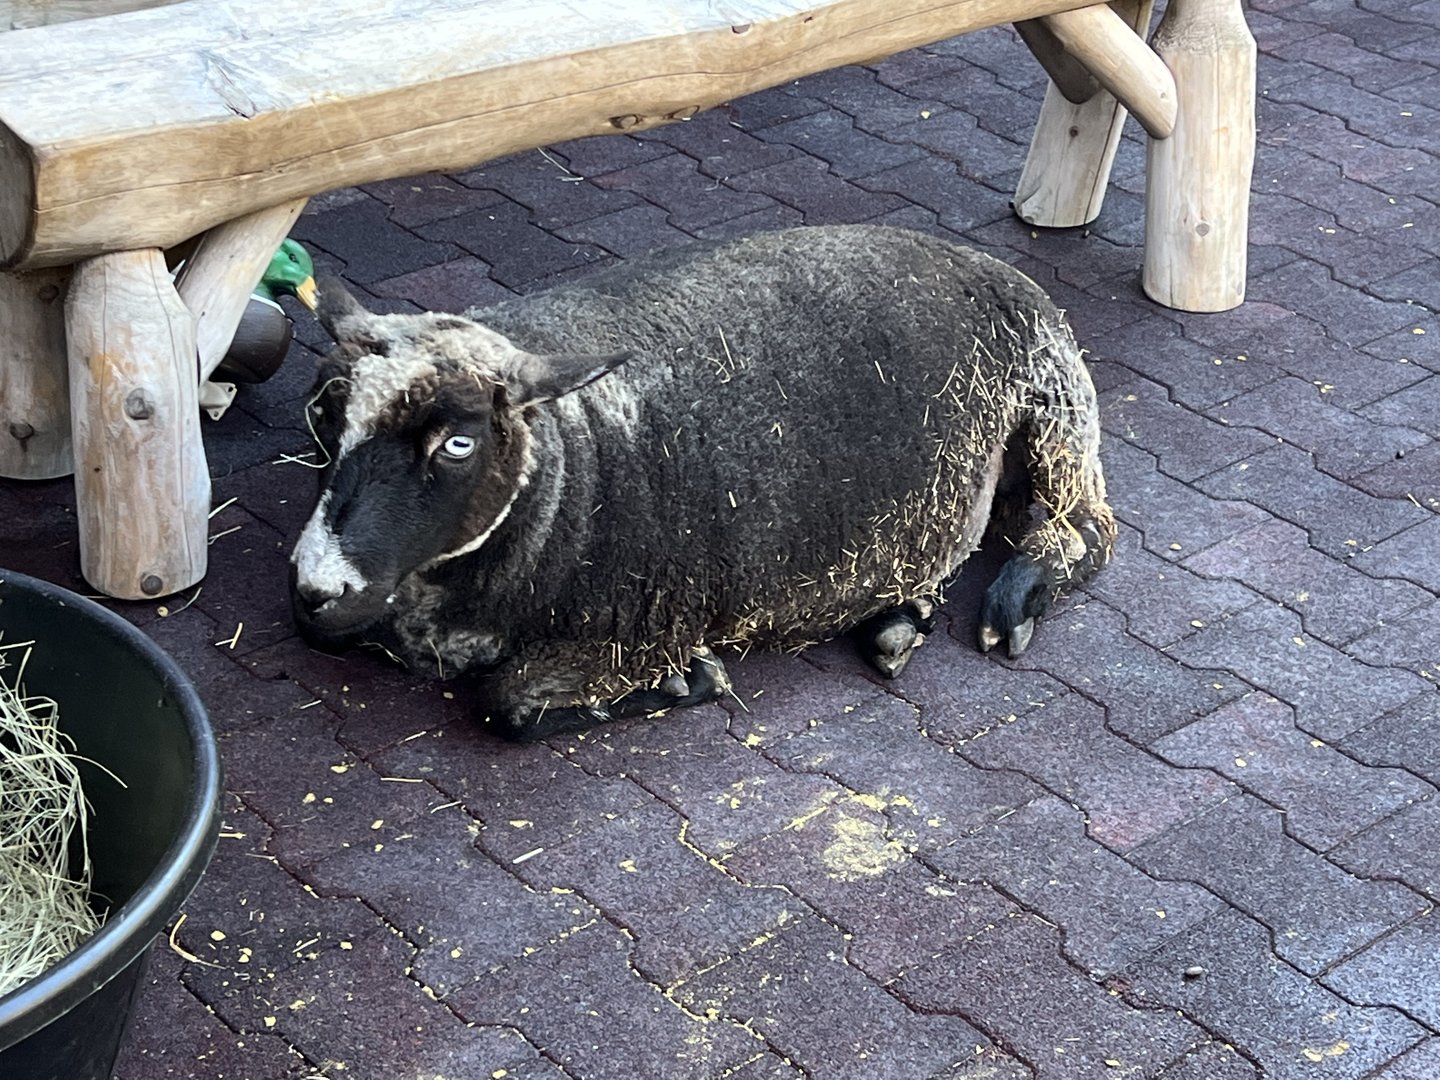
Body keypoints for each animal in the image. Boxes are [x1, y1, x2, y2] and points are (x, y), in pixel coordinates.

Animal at [289, 224, 1115, 740]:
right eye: (326, 414)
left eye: (458, 443)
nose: (314, 589)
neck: (567, 470)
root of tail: (976, 259)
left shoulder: (643, 629)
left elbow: (506, 706)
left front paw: (685, 684)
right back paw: (897, 621)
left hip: (1057, 402)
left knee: (1090, 529)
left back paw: (1017, 600)